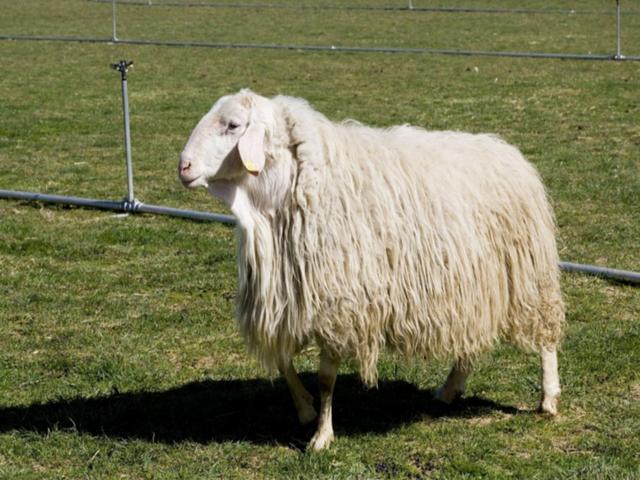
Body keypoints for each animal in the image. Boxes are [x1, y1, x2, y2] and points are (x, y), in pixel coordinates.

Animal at [178, 89, 565, 451]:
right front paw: (304, 409)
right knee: (471, 340)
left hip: (530, 275)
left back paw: (548, 398)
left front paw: (322, 435)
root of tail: (507, 150)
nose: (183, 166)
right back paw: (450, 388)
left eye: (232, 125)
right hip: (473, 284)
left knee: (545, 337)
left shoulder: (338, 304)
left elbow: (326, 378)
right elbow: (285, 361)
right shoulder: (288, 296)